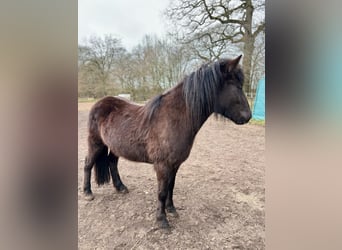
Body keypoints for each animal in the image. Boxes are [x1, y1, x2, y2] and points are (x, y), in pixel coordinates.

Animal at [83, 55, 251, 228]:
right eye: (236, 86)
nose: (248, 116)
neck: (174, 118)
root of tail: (100, 103)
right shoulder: (163, 165)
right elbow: (162, 192)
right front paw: (162, 220)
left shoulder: (175, 164)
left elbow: (171, 186)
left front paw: (171, 209)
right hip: (95, 143)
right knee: (88, 163)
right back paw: (88, 192)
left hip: (115, 146)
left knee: (112, 162)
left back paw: (120, 187)